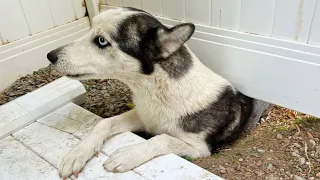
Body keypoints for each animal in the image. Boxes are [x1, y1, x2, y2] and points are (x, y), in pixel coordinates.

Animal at [46, 6, 268, 179]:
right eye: (91, 30)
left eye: (101, 41)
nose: (50, 55)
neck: (158, 89)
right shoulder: (144, 116)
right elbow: (104, 123)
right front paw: (77, 153)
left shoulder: (199, 149)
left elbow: (162, 139)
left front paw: (128, 155)